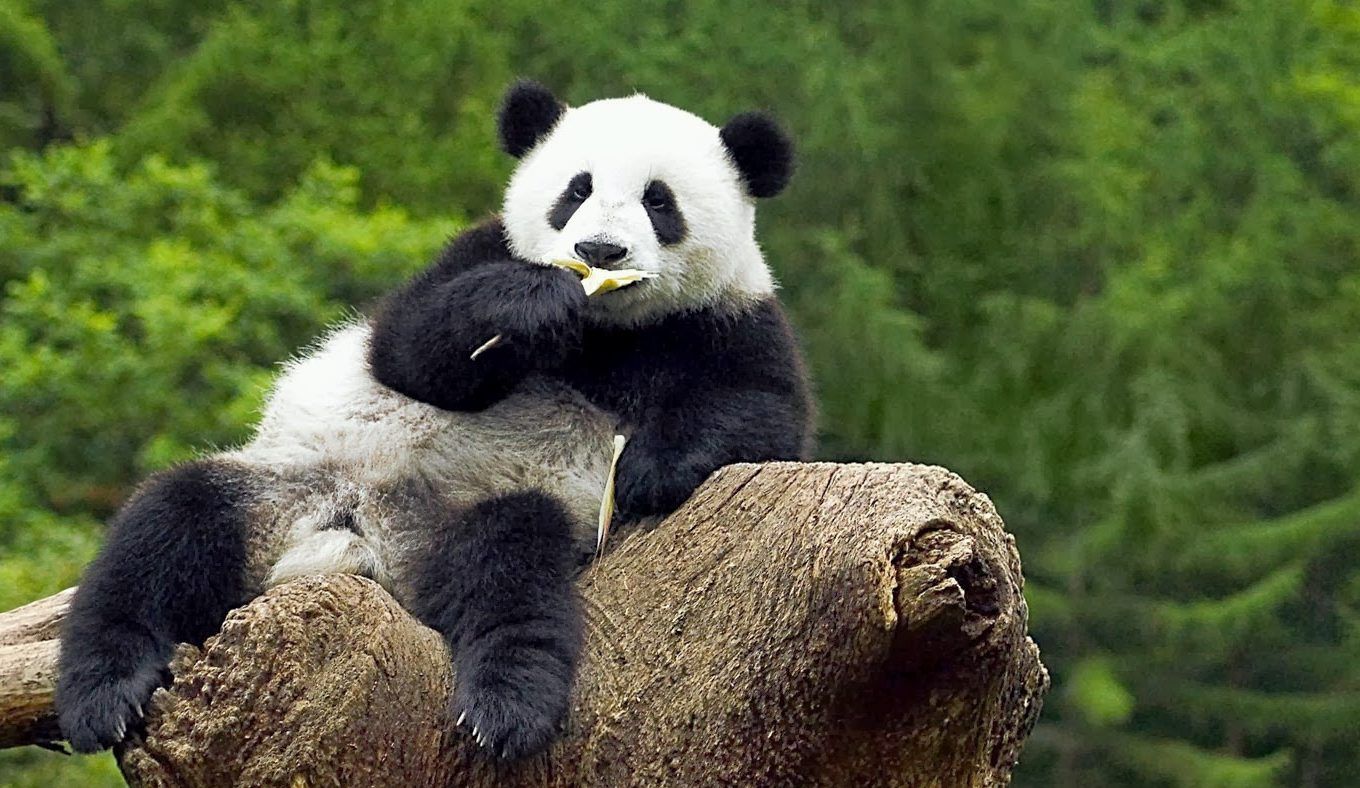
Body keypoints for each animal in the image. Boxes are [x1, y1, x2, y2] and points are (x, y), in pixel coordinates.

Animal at [55, 80, 814, 760]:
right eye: (576, 190)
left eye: (659, 201)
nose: (599, 251)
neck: (606, 327)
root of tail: (364, 536)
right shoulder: (475, 253)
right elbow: (408, 348)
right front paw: (528, 305)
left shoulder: (728, 318)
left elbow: (762, 412)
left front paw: (648, 470)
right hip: (282, 485)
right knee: (165, 529)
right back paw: (104, 693)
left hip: (476, 511)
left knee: (509, 571)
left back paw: (505, 706)